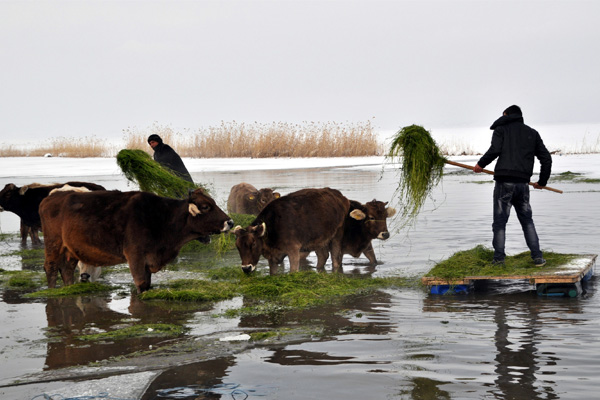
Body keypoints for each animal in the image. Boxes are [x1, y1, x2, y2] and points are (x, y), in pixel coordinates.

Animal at [38, 188, 233, 294]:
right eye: (206, 206)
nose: (230, 222)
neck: (163, 217)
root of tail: (50, 198)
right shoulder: (135, 256)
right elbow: (141, 283)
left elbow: (148, 283)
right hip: (53, 244)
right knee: (51, 267)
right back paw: (52, 290)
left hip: (70, 249)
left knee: (67, 269)